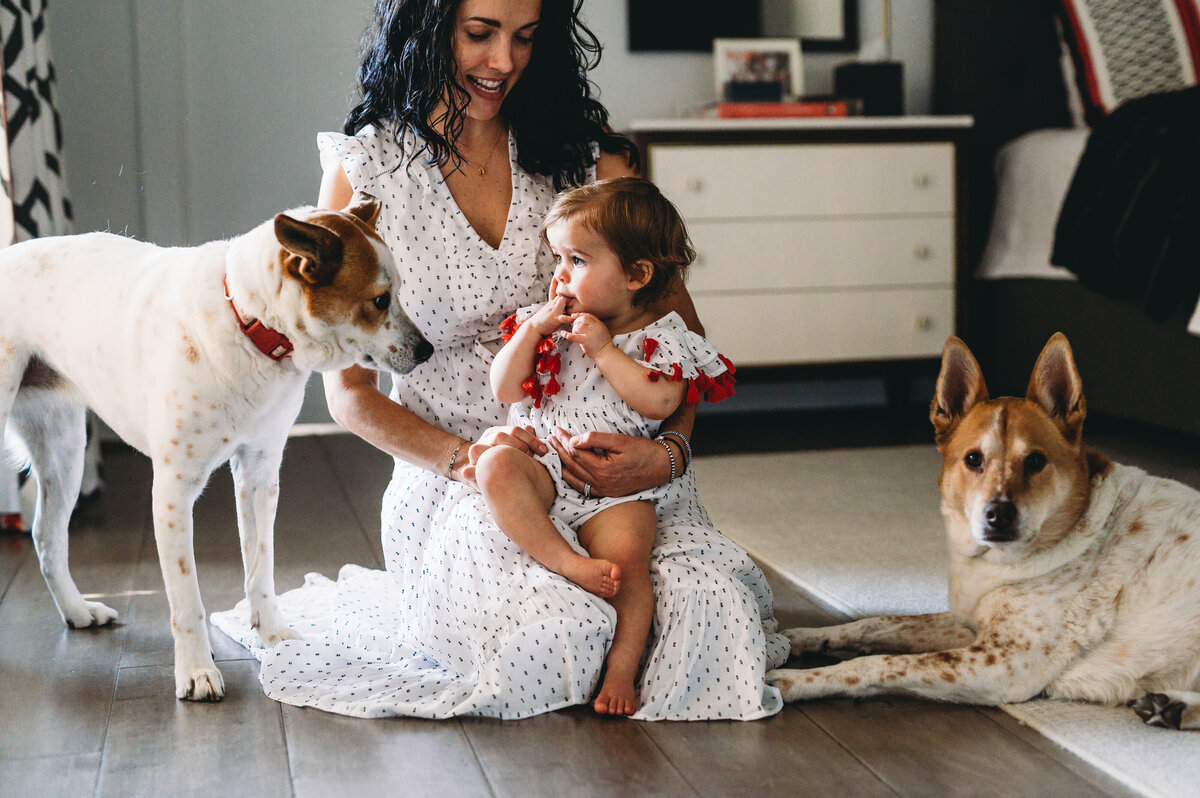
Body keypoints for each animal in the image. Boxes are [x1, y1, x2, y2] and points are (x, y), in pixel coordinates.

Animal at [0, 192, 432, 696]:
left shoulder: (260, 473)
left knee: (46, 534)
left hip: (65, 452)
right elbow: (186, 597)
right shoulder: (173, 490)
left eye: (399, 293)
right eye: (380, 300)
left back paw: (78, 611)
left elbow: (260, 567)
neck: (248, 323)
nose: (427, 351)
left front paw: (273, 635)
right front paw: (196, 670)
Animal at [768, 333, 1200, 729]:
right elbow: (877, 623)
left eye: (1036, 461)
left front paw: (793, 680)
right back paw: (1171, 707)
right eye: (973, 459)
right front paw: (806, 637)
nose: (999, 514)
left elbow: (877, 663)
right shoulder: (970, 627)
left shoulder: (1002, 663)